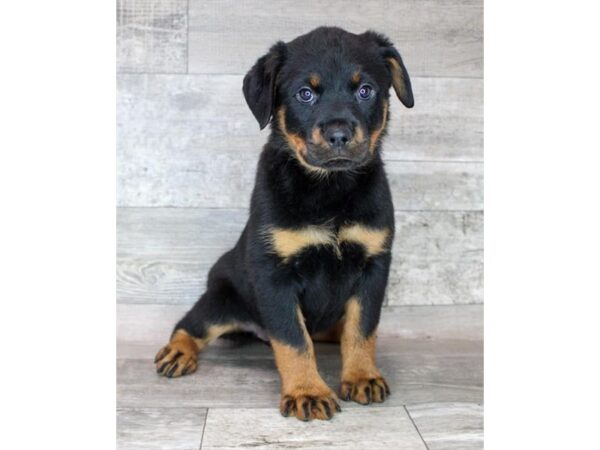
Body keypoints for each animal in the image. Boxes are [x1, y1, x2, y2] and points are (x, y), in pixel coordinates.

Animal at [155, 26, 412, 420]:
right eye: (305, 94)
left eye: (365, 90)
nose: (339, 134)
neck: (328, 188)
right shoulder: (273, 274)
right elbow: (293, 339)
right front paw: (308, 391)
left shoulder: (373, 265)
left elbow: (362, 328)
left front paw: (362, 376)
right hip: (222, 300)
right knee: (190, 323)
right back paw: (178, 351)